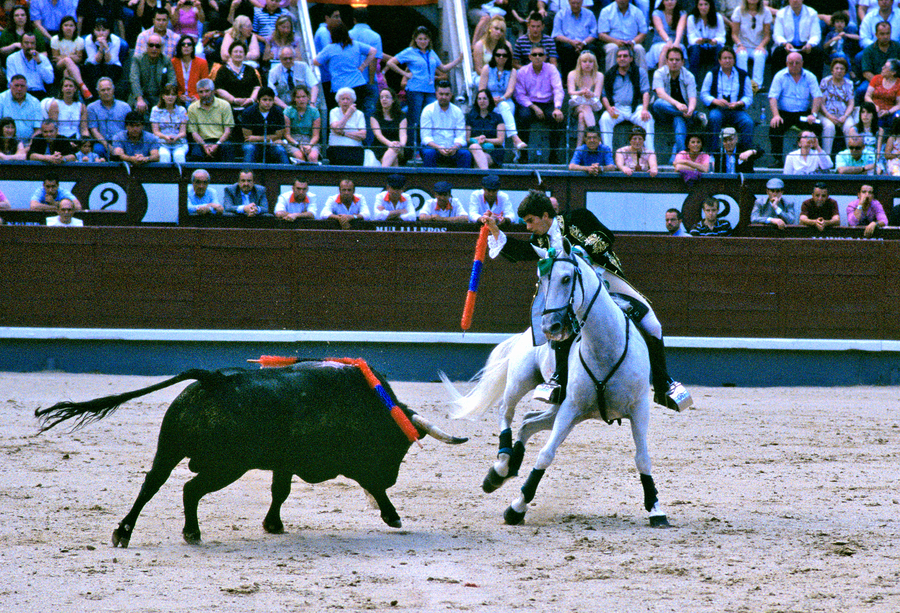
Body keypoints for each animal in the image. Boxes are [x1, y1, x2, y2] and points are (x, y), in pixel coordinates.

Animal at [35, 360, 467, 547]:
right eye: (397, 448)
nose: (395, 476)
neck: (369, 404)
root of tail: (213, 381)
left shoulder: (284, 464)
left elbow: (280, 492)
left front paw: (273, 525)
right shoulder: (347, 463)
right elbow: (371, 485)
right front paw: (393, 516)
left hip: (169, 449)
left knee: (151, 484)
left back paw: (123, 532)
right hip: (227, 466)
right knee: (190, 489)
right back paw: (192, 533)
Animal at [442, 244, 670, 527]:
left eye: (566, 278)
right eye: (541, 281)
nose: (549, 326)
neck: (606, 346)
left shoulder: (638, 409)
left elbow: (643, 459)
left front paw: (656, 509)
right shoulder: (571, 407)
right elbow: (546, 454)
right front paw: (517, 507)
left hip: (564, 410)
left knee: (528, 422)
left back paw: (510, 466)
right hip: (522, 380)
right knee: (507, 411)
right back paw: (501, 466)